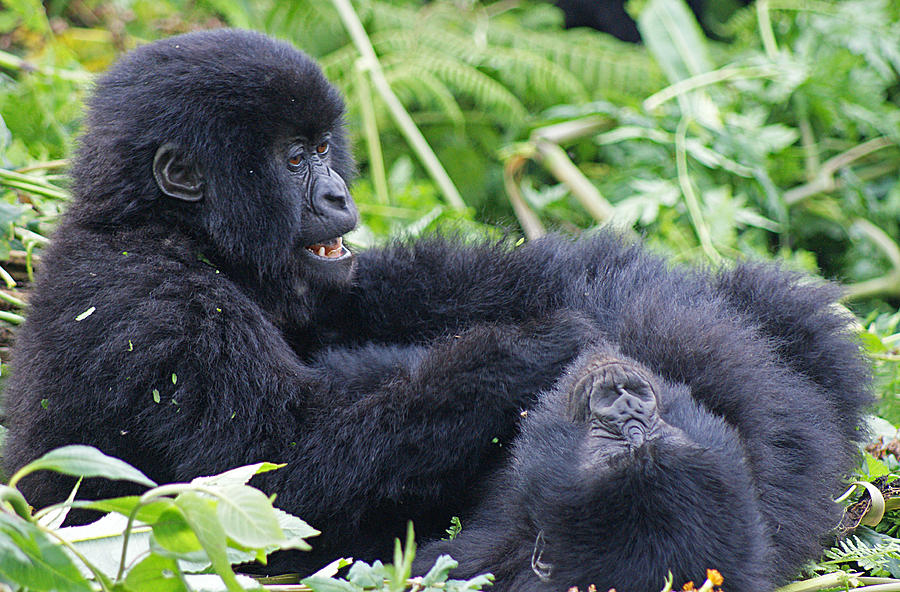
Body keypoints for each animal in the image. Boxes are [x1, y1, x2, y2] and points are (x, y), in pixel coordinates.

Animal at [0, 28, 872, 592]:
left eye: (324, 149)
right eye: (294, 160)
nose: (336, 195)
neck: (159, 225)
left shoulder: (325, 288)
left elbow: (403, 291)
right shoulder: (159, 308)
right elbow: (272, 475)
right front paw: (538, 347)